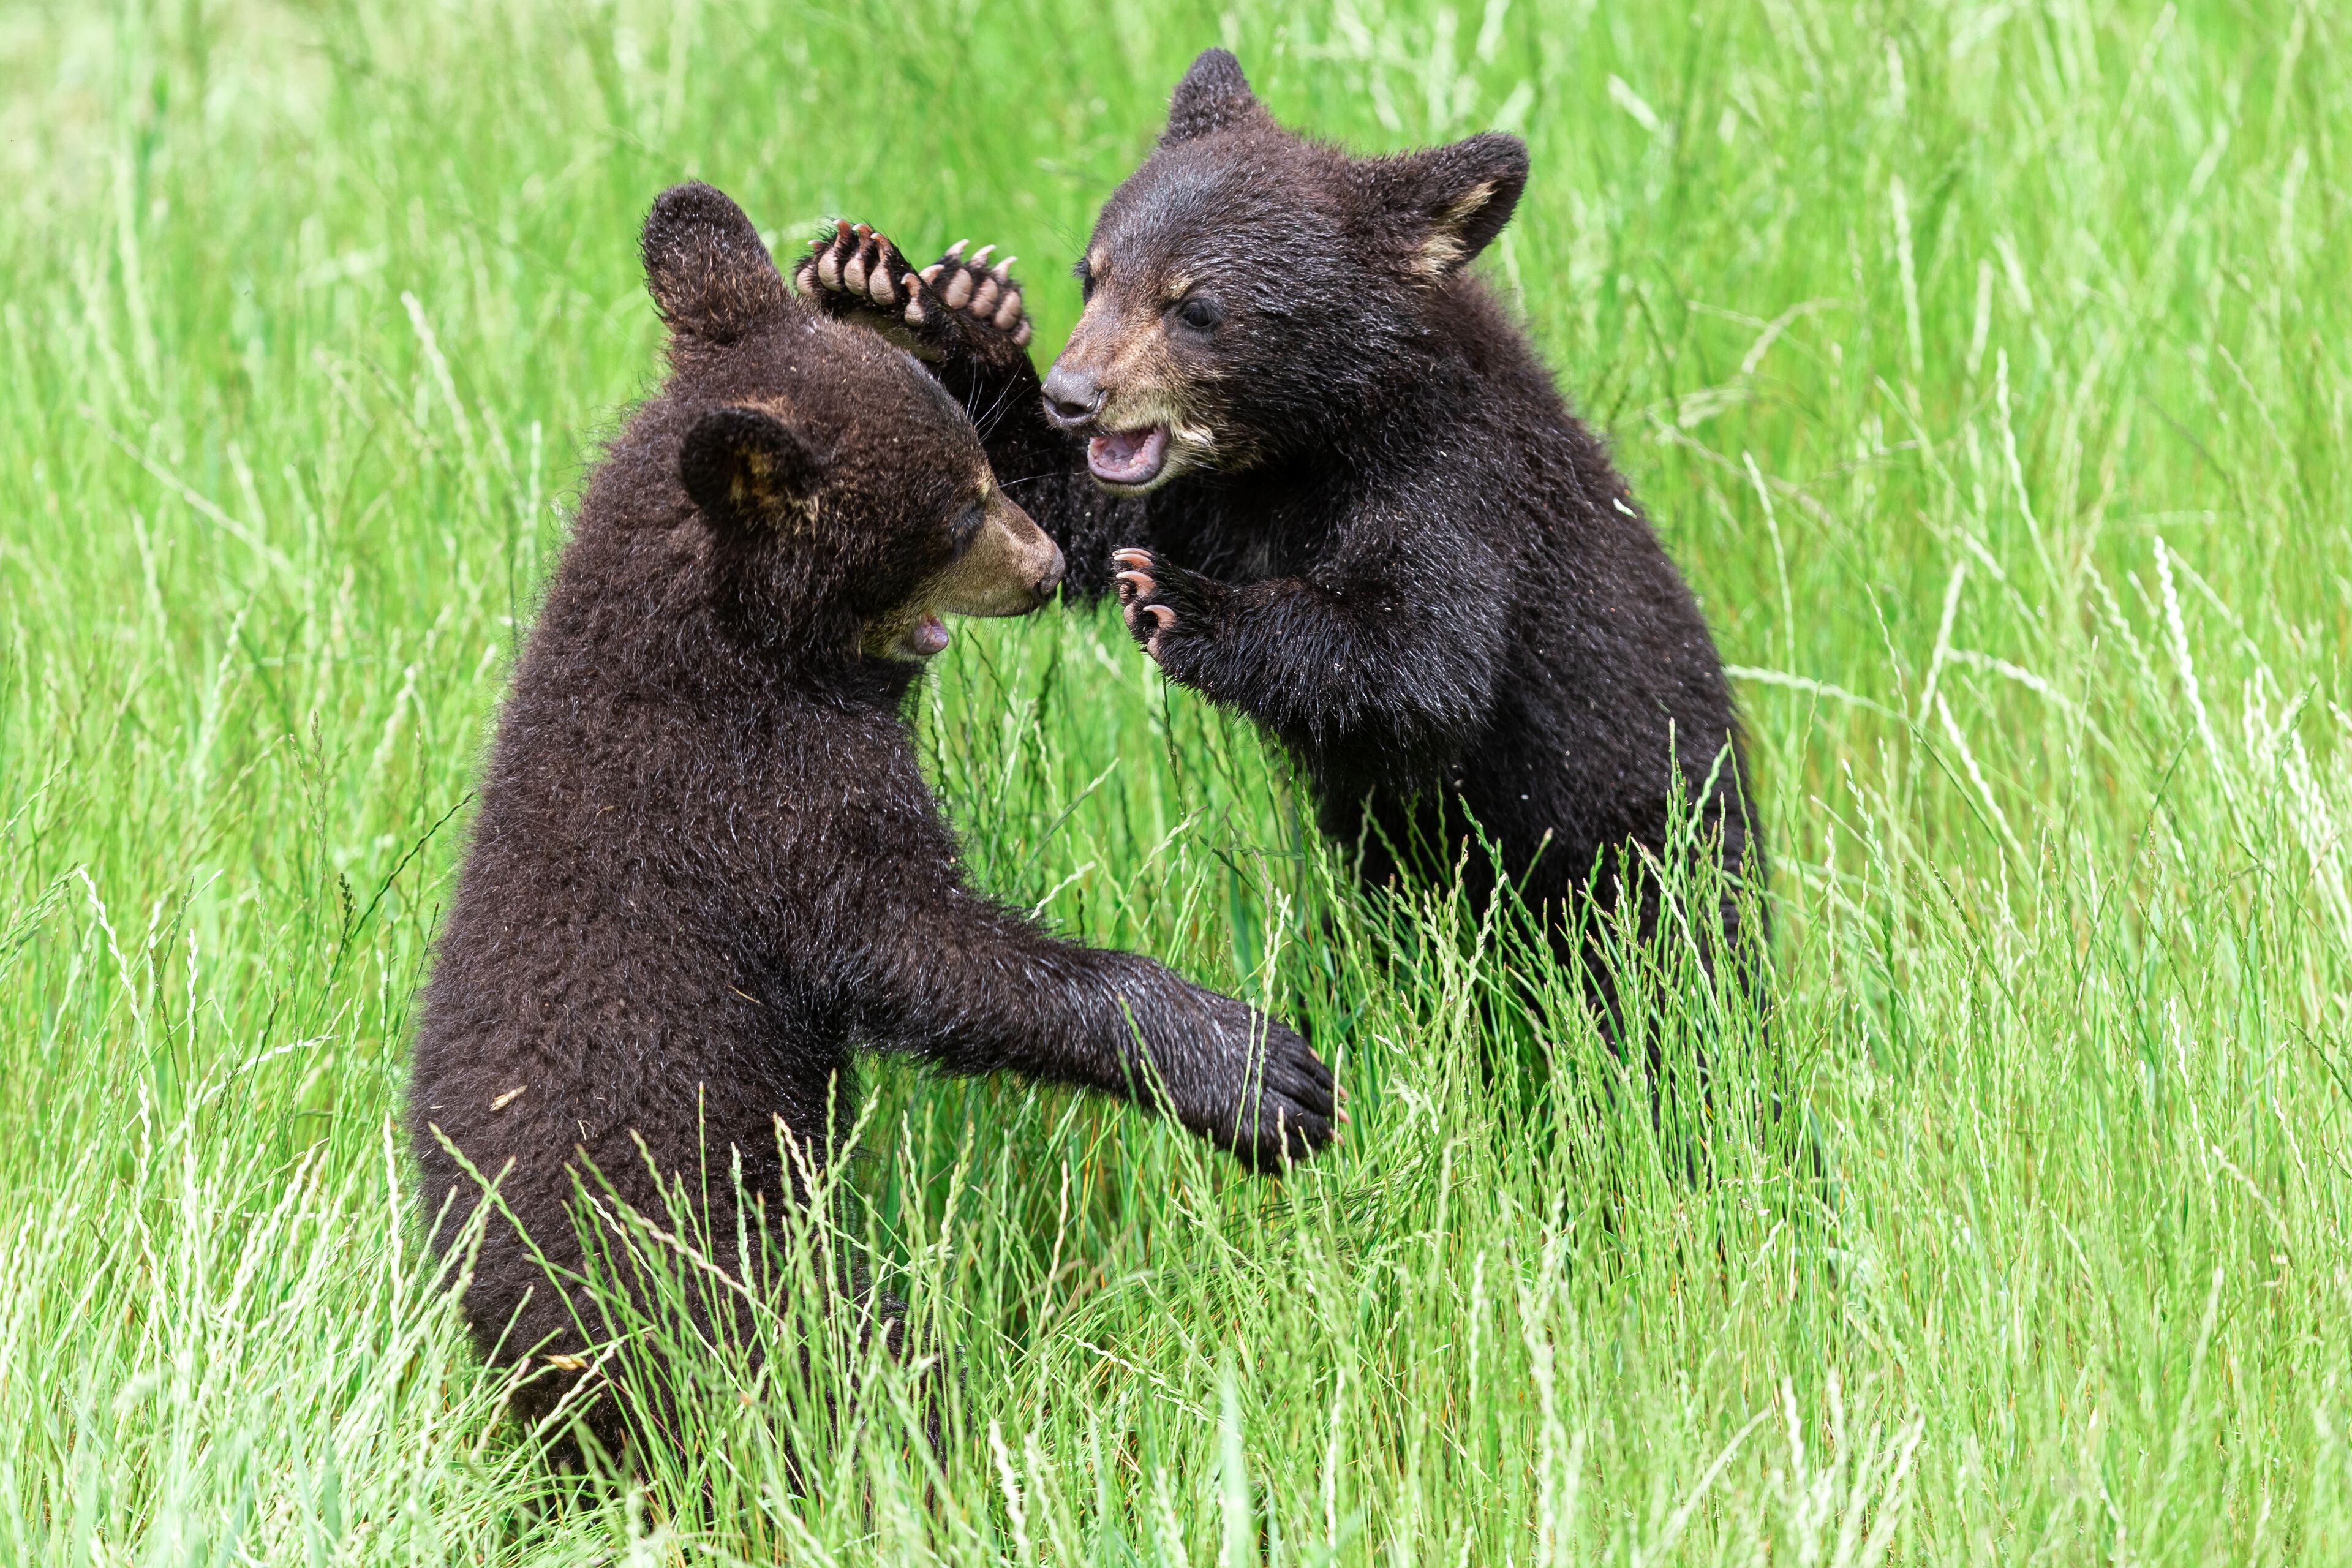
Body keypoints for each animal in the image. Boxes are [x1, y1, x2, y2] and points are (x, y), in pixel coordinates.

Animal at [408, 181, 1337, 1460]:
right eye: (955, 515)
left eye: (983, 469)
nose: (1047, 566)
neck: (724, 652)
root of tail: (536, 1385)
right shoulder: (764, 802)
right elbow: (925, 948)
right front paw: (1252, 1072)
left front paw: (901, 296)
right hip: (722, 1286)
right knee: (849, 1373)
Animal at [796, 49, 1764, 1039]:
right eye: (1092, 274)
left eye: (1196, 306)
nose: (1074, 395)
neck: (1295, 452)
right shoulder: (1201, 495)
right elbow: (1059, 518)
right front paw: (899, 297)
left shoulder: (1460, 476)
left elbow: (1423, 655)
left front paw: (1181, 602)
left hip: (1640, 846)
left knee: (1664, 971)